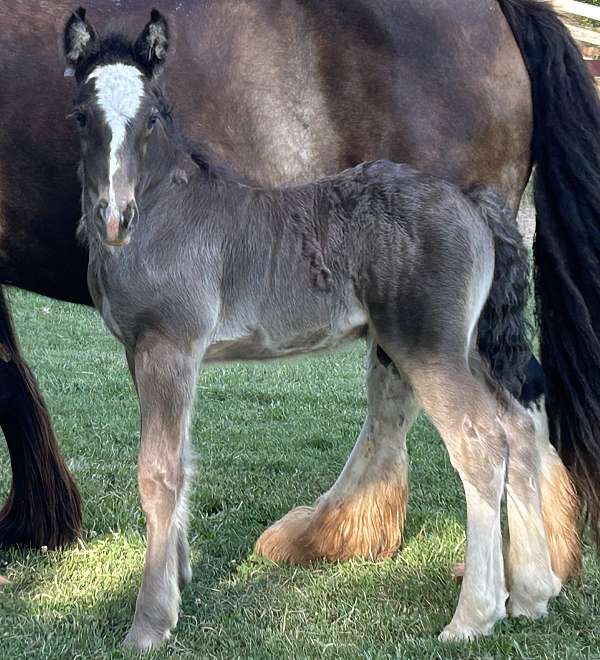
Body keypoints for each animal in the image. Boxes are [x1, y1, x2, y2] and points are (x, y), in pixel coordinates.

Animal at [65, 9, 564, 648]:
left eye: (150, 116)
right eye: (83, 115)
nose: (114, 218)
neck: (164, 213)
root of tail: (472, 200)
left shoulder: (167, 346)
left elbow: (159, 472)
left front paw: (151, 622)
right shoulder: (146, 354)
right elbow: (182, 459)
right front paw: (179, 581)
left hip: (429, 349)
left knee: (481, 442)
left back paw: (474, 616)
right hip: (469, 347)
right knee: (520, 428)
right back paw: (531, 593)